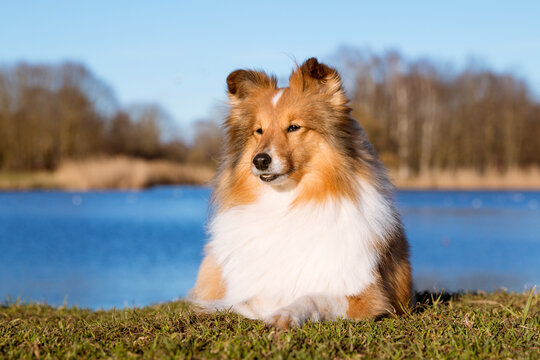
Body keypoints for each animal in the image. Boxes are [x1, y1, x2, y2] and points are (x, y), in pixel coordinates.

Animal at [188, 57, 412, 330]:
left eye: (294, 127)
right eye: (259, 130)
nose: (260, 160)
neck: (285, 202)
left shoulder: (367, 295)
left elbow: (311, 297)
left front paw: (284, 315)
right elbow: (252, 299)